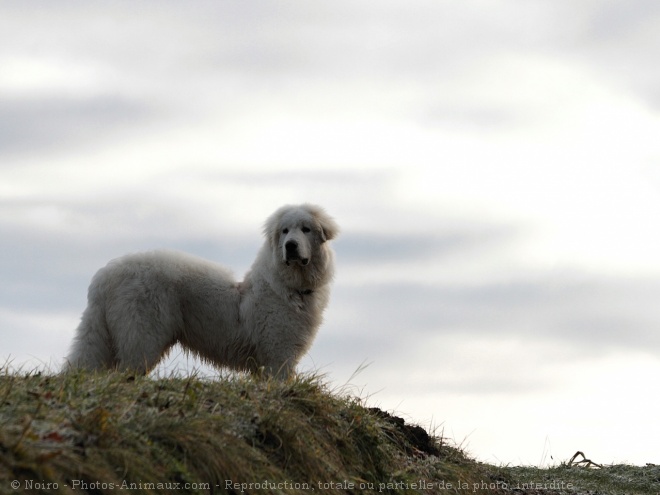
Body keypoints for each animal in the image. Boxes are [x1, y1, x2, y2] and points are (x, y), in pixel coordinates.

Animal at [65, 203, 340, 378]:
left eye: (305, 229)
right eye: (284, 231)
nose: (290, 246)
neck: (287, 285)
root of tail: (104, 277)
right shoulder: (277, 355)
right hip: (142, 335)